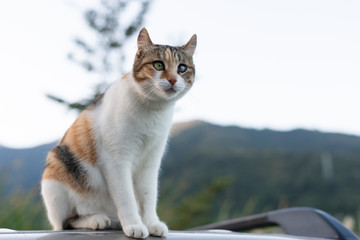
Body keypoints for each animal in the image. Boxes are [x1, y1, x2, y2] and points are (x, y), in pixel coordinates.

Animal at [41, 27, 197, 238]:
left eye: (182, 68)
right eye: (158, 65)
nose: (172, 79)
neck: (153, 110)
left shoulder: (151, 160)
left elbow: (148, 194)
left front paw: (151, 223)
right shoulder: (116, 159)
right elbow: (126, 196)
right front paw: (134, 224)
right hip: (56, 170)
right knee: (69, 221)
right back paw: (96, 219)